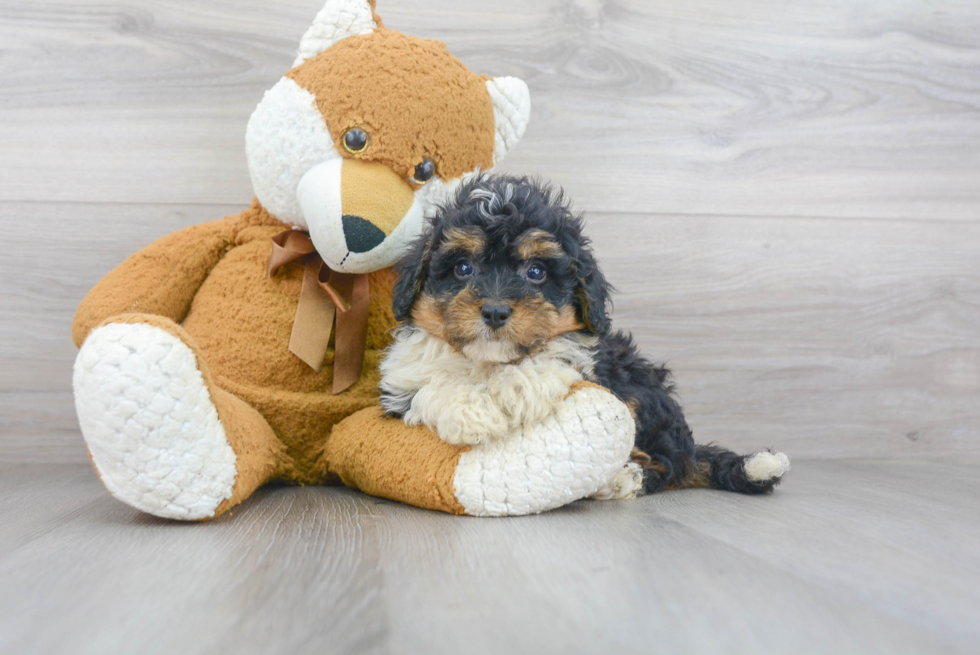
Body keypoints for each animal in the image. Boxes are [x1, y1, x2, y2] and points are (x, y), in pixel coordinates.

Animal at [380, 174, 788, 498]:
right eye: (463, 268)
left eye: (536, 272)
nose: (495, 311)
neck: (489, 361)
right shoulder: (398, 387)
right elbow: (429, 389)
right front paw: (475, 413)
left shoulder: (589, 361)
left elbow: (552, 355)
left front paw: (515, 390)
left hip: (640, 393)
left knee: (667, 462)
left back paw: (623, 478)